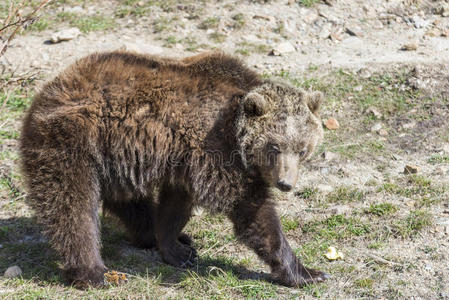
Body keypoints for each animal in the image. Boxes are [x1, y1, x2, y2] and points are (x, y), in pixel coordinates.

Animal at [19, 51, 328, 288]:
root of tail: (44, 93)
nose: (286, 183)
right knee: (72, 207)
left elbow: (175, 204)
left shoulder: (186, 158)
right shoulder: (215, 151)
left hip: (114, 159)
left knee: (127, 200)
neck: (235, 131)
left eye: (302, 149)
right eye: (274, 147)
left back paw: (157, 235)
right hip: (72, 142)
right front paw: (306, 272)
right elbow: (252, 211)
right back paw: (93, 272)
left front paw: (176, 247)